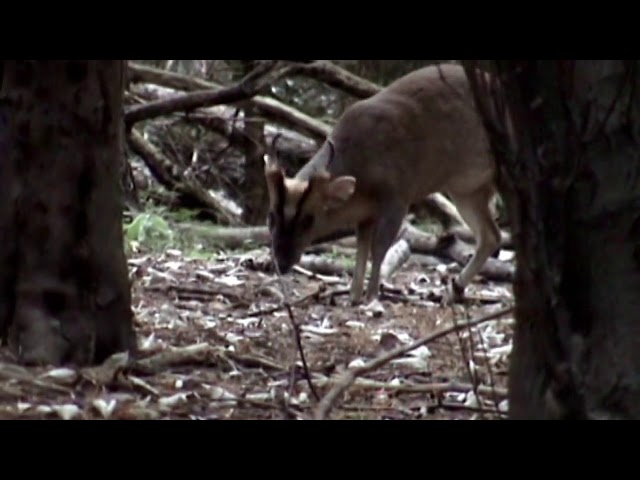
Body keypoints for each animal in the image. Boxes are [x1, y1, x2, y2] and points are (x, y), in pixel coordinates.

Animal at [262, 63, 502, 306]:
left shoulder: (398, 196)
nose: (281, 262)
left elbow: (379, 247)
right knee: (491, 236)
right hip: (467, 189)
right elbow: (362, 249)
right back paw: (453, 291)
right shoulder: (365, 214)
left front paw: (372, 297)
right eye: (270, 216)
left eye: (308, 220)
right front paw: (354, 296)